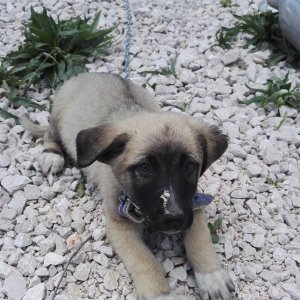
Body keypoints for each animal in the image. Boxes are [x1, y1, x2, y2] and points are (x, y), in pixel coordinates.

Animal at [22, 73, 236, 300]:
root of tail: (88, 73)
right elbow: (145, 259)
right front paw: (160, 294)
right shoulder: (119, 225)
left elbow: (200, 237)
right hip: (58, 113)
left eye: (189, 166)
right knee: (50, 134)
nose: (174, 219)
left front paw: (211, 276)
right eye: (145, 168)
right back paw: (51, 154)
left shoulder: (193, 205)